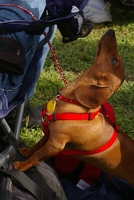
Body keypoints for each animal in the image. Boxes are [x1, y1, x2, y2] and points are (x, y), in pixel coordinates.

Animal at [13, 29, 134, 188]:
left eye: (114, 61)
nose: (111, 31)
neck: (74, 103)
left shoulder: (55, 145)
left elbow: (37, 157)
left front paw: (22, 166)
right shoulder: (48, 136)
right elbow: (37, 146)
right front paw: (27, 151)